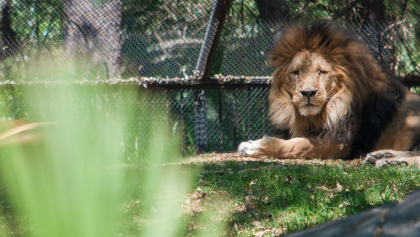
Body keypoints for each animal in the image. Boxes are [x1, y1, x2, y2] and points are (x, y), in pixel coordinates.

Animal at [238, 21, 420, 168]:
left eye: (321, 72)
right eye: (295, 72)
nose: (308, 92)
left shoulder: (339, 143)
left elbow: (298, 144)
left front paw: (253, 146)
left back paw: (392, 161)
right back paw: (383, 155)